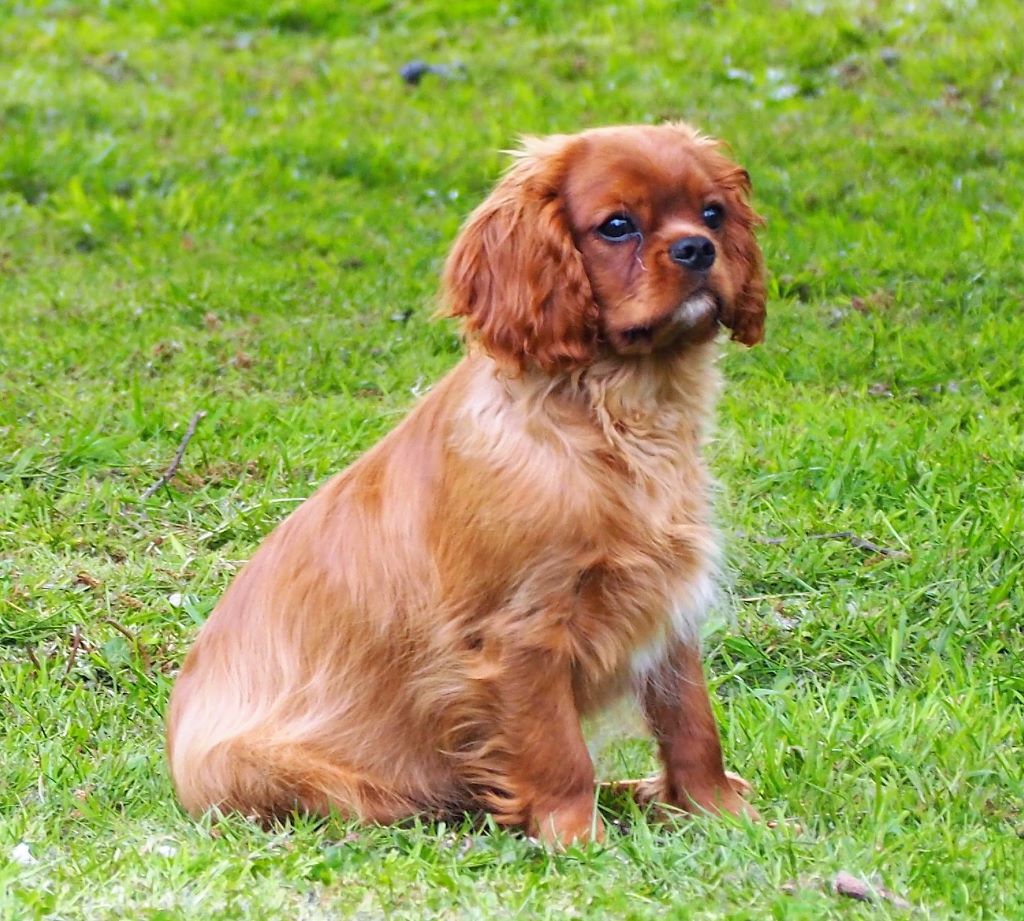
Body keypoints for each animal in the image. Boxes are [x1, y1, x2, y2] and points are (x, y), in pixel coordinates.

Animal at [167, 120, 765, 844]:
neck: (620, 412)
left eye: (713, 214)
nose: (697, 248)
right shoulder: (522, 631)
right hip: (292, 775)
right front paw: (578, 838)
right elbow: (558, 751)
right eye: (617, 226)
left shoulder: (668, 612)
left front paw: (724, 814)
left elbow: (692, 725)